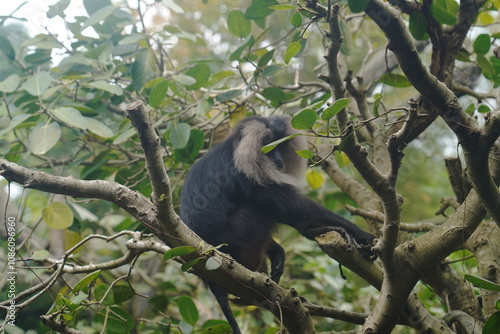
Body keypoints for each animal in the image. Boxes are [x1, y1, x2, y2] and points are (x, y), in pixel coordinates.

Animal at [180, 115, 376, 334]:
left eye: (280, 147)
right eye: (267, 147)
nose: (278, 160)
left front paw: (278, 253)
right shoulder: (244, 171)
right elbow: (290, 206)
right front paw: (361, 234)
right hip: (238, 236)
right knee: (264, 207)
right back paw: (316, 230)